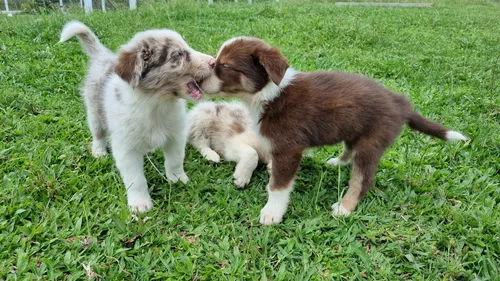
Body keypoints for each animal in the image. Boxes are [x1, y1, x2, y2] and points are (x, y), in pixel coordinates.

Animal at [59, 20, 214, 211]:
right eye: (177, 54)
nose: (214, 61)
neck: (155, 104)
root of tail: (103, 56)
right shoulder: (125, 149)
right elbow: (136, 179)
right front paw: (140, 203)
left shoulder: (175, 137)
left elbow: (175, 161)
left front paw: (178, 179)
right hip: (94, 113)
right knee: (98, 133)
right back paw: (98, 151)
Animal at [200, 37, 468, 225]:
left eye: (225, 66)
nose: (199, 81)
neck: (269, 94)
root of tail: (400, 102)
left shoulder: (289, 148)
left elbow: (279, 186)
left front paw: (272, 213)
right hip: (354, 129)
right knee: (349, 150)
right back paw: (337, 163)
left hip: (372, 141)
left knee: (362, 180)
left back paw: (345, 208)